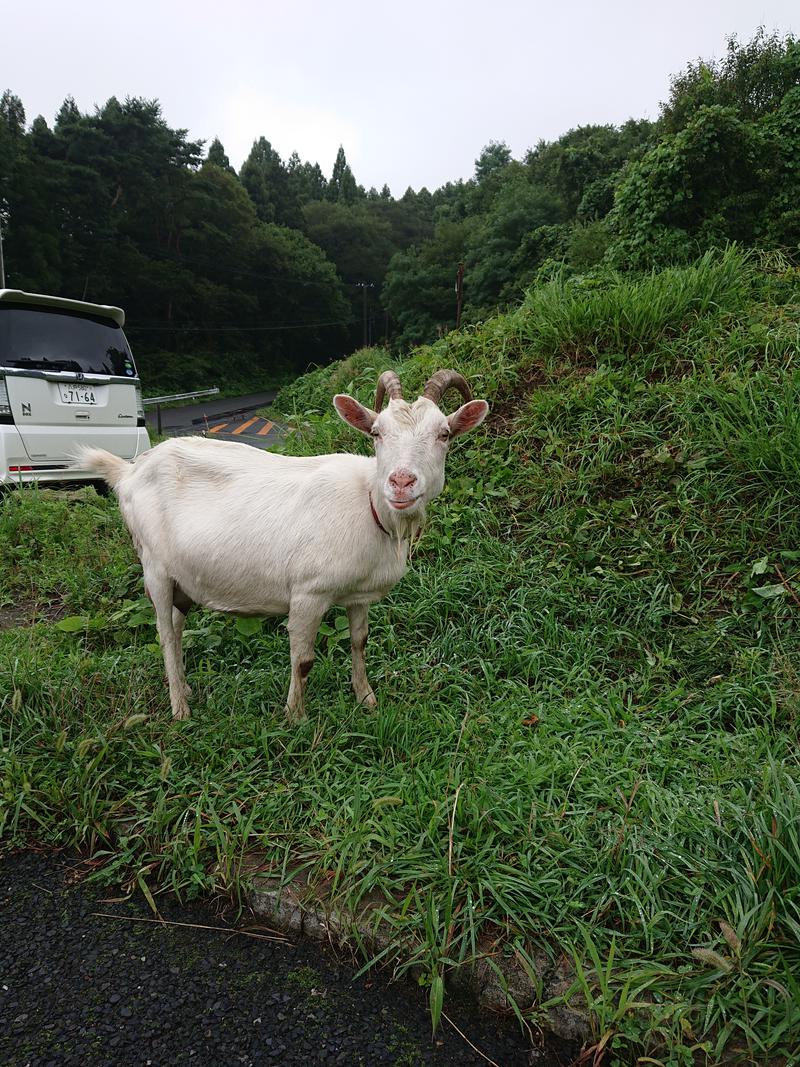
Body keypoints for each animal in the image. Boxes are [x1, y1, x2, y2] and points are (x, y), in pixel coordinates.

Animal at [80, 371, 488, 721]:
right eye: (377, 432)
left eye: (444, 434)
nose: (401, 482)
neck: (371, 505)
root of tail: (129, 470)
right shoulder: (308, 593)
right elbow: (303, 659)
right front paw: (295, 717)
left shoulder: (359, 596)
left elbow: (359, 642)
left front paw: (367, 699)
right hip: (155, 567)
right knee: (165, 634)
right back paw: (180, 708)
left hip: (182, 577)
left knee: (177, 630)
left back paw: (186, 689)